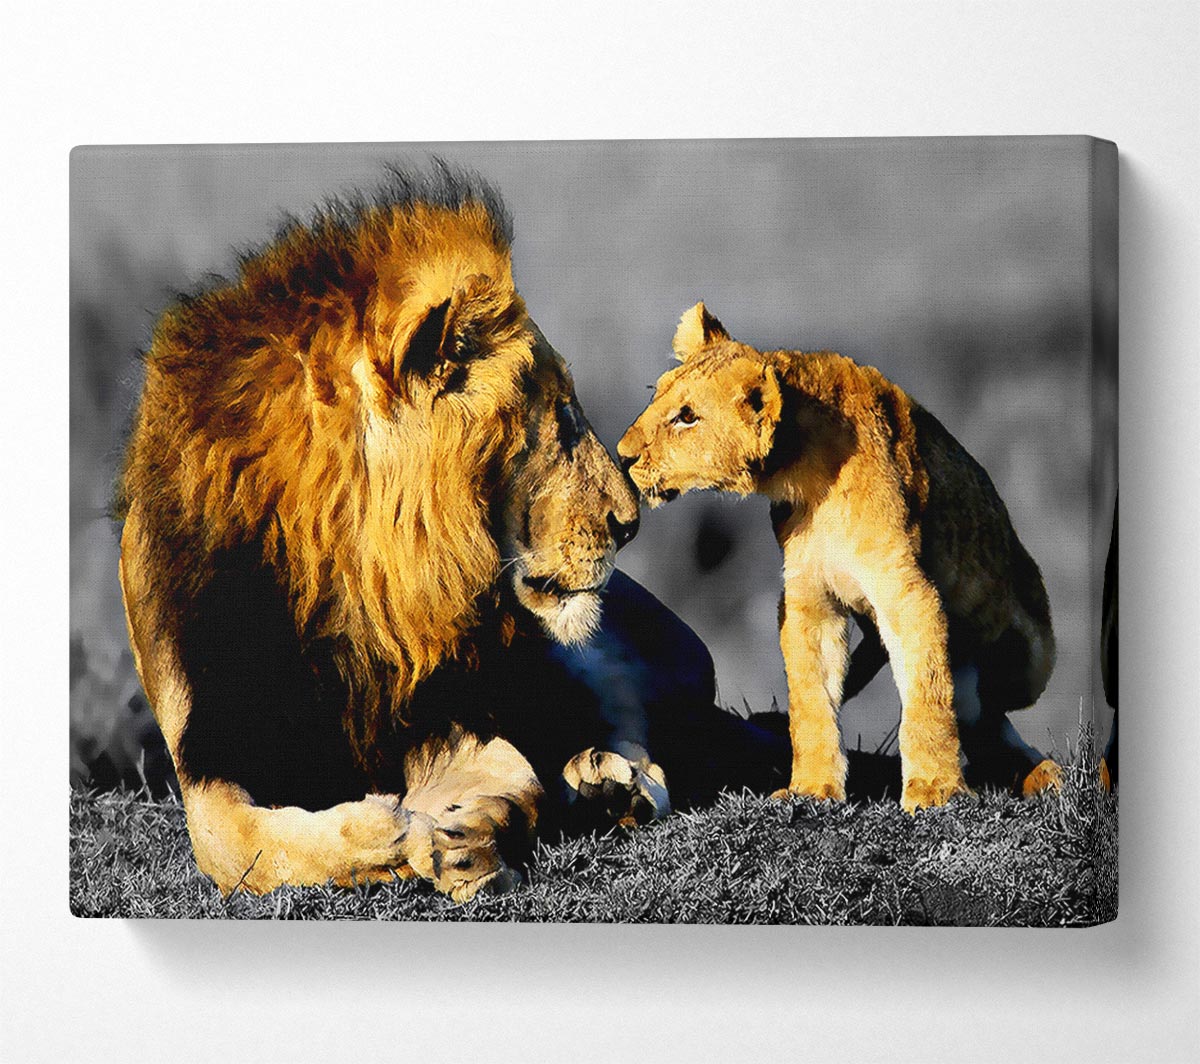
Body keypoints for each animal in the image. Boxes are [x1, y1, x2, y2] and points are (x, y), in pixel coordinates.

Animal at [116, 170, 787, 902]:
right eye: (561, 417)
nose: (630, 523)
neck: (348, 586)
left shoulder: (456, 710)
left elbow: (501, 772)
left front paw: (458, 831)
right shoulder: (208, 742)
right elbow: (229, 843)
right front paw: (384, 836)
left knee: (636, 715)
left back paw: (612, 784)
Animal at [618, 302, 1061, 813]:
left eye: (687, 417)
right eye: (657, 396)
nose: (622, 456)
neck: (805, 476)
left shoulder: (907, 592)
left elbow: (927, 695)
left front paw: (934, 789)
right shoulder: (808, 598)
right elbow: (811, 701)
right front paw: (812, 788)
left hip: (1025, 658)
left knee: (986, 711)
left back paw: (1043, 774)